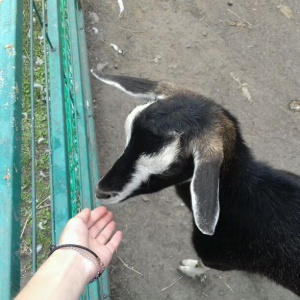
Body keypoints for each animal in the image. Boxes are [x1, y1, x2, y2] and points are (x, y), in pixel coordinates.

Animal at [90, 69, 300, 296]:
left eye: (170, 169)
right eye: (128, 132)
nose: (102, 191)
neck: (241, 200)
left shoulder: (218, 257)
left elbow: (202, 264)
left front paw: (188, 268)